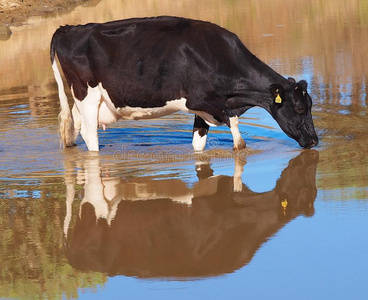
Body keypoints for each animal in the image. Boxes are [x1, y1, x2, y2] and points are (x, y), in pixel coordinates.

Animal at [50, 15, 318, 151]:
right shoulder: (201, 99)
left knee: (73, 130)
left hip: (81, 99)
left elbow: (199, 143)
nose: (315, 141)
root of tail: (69, 28)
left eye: (310, 106)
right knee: (90, 133)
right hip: (87, 93)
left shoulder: (203, 110)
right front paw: (239, 148)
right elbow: (234, 125)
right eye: (299, 108)